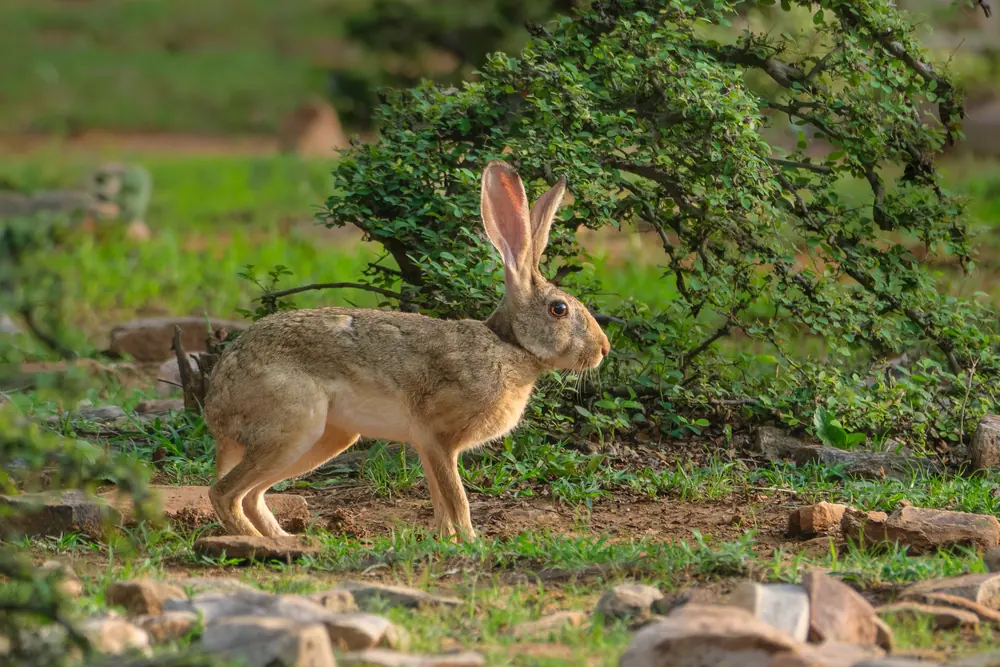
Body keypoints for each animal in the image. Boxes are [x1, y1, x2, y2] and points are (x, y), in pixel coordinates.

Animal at [204, 160, 611, 541]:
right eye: (559, 309)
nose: (604, 349)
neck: (510, 346)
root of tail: (217, 405)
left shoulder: (428, 447)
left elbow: (439, 499)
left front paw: (447, 540)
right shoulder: (438, 437)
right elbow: (456, 498)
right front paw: (471, 541)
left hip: (328, 438)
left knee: (252, 495)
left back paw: (284, 538)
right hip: (293, 426)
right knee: (224, 493)